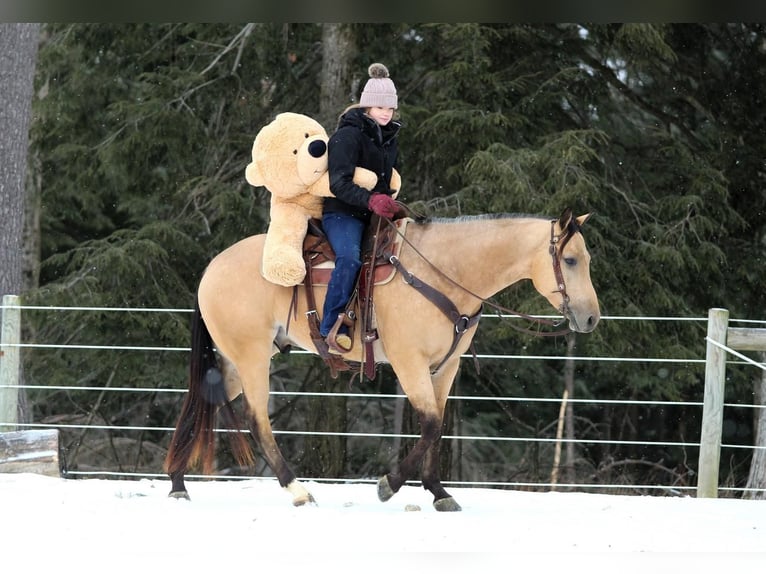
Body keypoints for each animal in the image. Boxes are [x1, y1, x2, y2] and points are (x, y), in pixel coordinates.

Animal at [165, 208, 604, 512]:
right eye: (570, 260)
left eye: (587, 259)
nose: (591, 318)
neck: (444, 273)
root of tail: (212, 267)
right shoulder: (409, 362)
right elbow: (430, 425)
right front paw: (389, 485)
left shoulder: (446, 367)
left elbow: (438, 428)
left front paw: (439, 493)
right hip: (252, 357)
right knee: (258, 421)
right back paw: (298, 490)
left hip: (238, 360)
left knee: (202, 402)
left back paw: (177, 483)